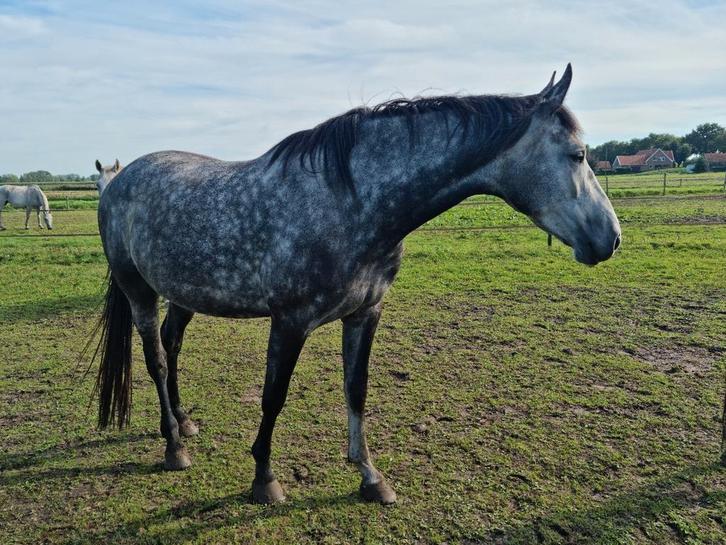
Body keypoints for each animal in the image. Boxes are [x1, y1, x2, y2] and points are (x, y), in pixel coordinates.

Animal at [89, 64, 621, 505]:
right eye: (578, 154)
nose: (611, 239)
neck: (353, 202)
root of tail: (119, 181)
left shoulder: (365, 314)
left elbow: (356, 389)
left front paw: (370, 476)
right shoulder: (289, 322)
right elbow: (273, 397)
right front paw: (264, 479)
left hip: (185, 295)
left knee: (172, 344)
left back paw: (183, 422)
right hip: (139, 290)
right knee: (156, 358)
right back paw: (173, 446)